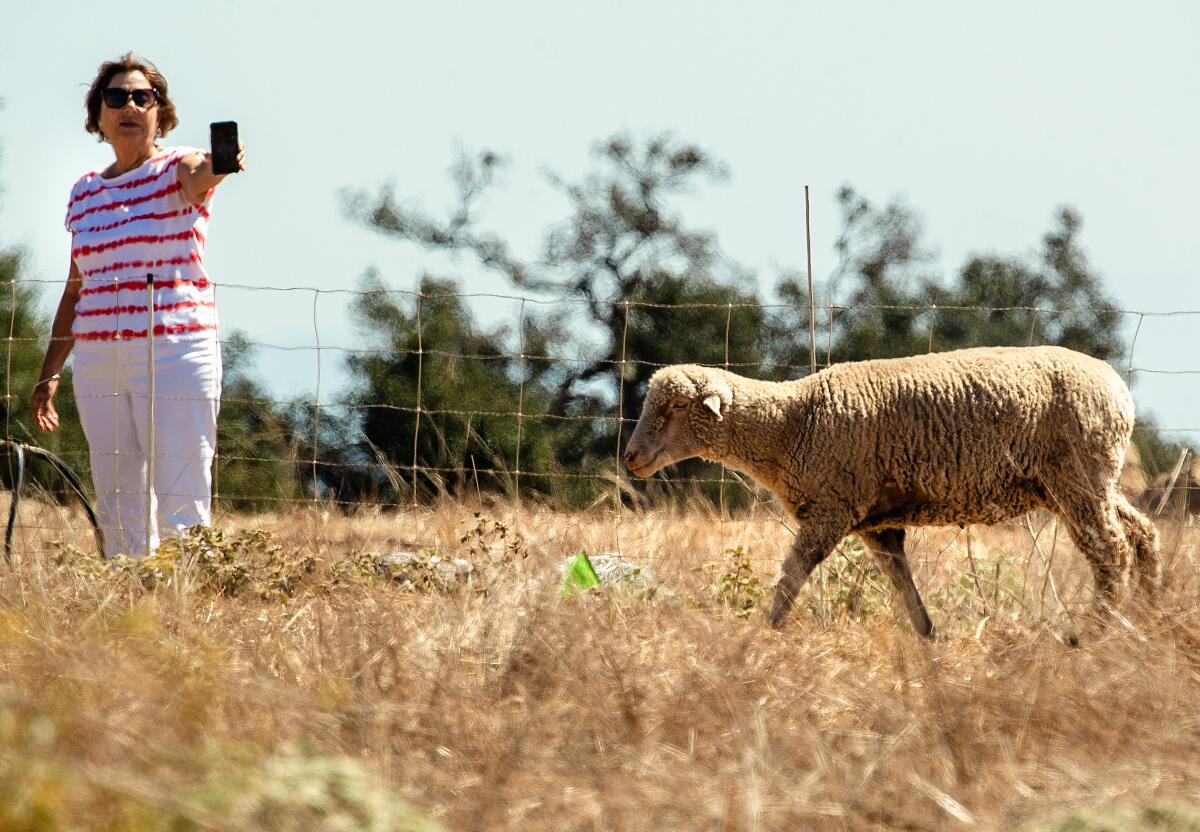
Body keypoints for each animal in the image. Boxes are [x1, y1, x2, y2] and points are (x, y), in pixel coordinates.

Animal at [624, 343, 1156, 633]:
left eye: (675, 406)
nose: (630, 457)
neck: (791, 424)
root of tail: (1120, 389)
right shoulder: (876, 525)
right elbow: (905, 589)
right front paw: (930, 642)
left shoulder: (831, 509)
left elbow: (791, 578)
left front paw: (763, 634)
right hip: (1088, 481)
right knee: (1143, 533)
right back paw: (1149, 615)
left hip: (1078, 477)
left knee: (1110, 552)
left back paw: (1096, 632)